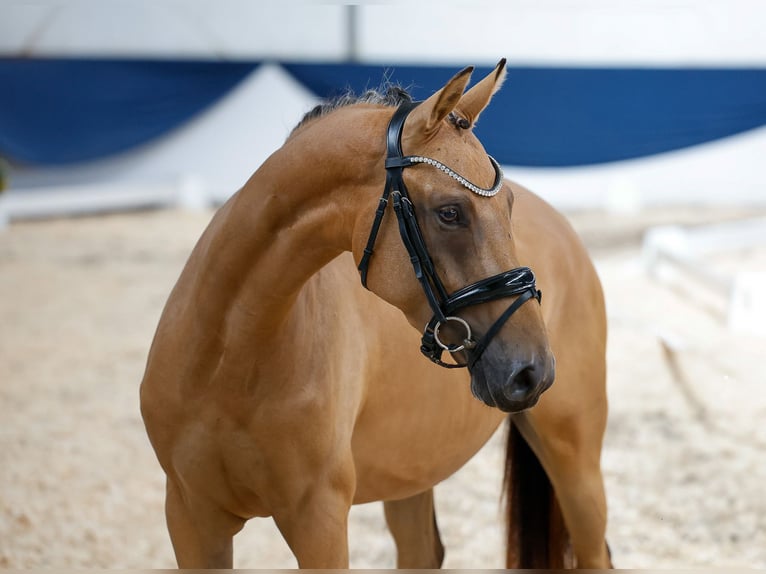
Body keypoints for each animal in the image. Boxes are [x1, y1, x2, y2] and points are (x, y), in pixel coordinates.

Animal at [140, 60, 612, 568]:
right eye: (450, 212)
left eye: (508, 207)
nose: (532, 371)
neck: (229, 359)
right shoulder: (190, 518)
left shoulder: (319, 520)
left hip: (573, 451)